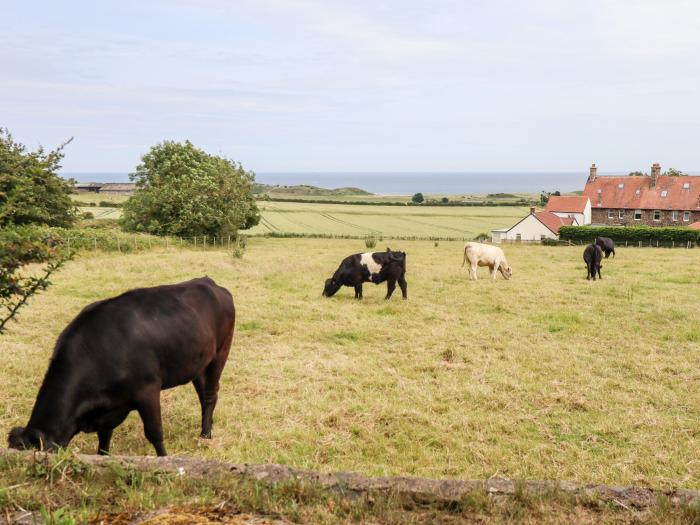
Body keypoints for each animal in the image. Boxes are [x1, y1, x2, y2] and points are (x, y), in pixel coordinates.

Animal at [6, 278, 235, 454]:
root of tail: (211, 283)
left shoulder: (148, 390)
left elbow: (155, 434)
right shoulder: (110, 406)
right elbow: (104, 437)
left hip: (220, 354)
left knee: (210, 395)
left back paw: (206, 435)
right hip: (198, 364)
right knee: (203, 395)